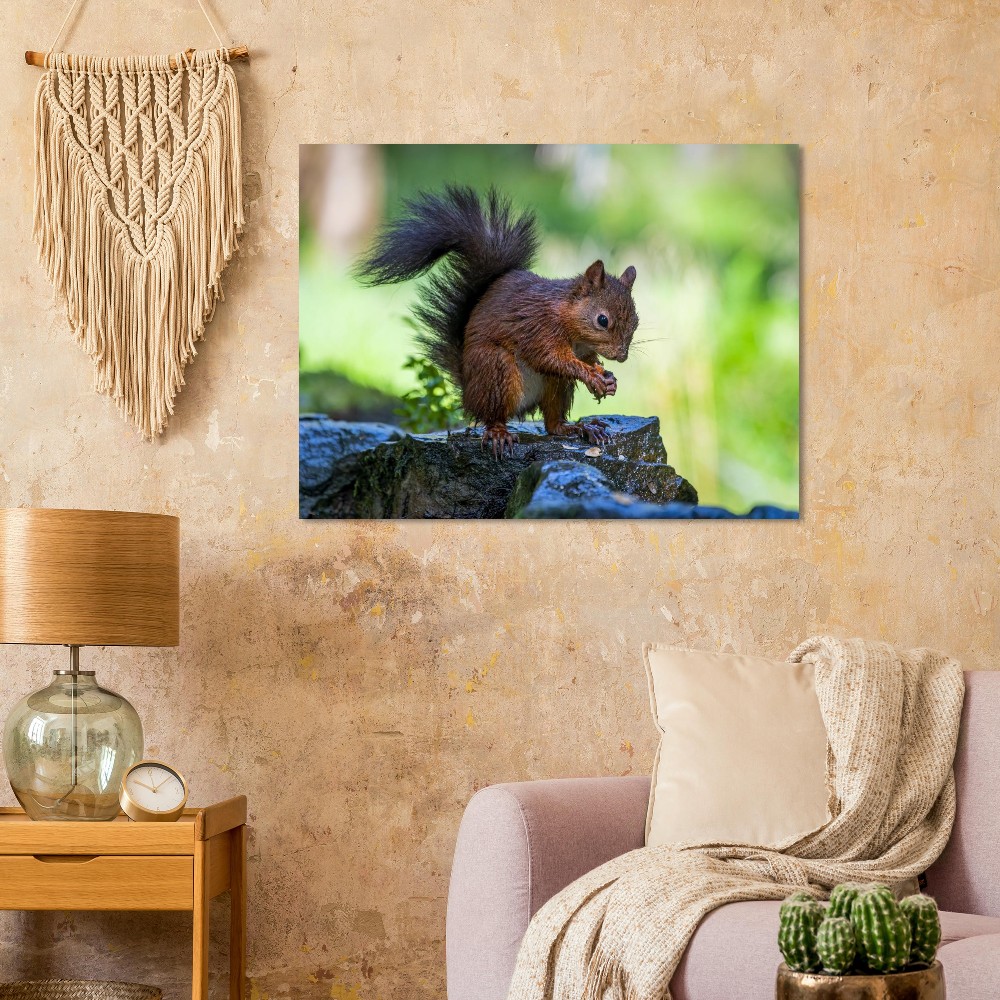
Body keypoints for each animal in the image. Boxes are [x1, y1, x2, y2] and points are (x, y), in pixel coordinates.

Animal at [356, 186, 638, 457]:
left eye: (635, 321)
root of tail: (468, 392)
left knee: (552, 424)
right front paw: (591, 375)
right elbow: (550, 358)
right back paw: (499, 433)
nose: (622, 356)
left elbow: (586, 360)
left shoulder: (582, 348)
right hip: (496, 370)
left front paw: (607, 377)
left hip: (555, 385)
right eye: (603, 320)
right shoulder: (539, 328)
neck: (570, 322)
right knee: (493, 416)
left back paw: (580, 428)